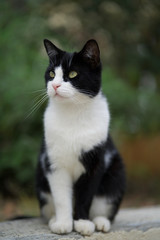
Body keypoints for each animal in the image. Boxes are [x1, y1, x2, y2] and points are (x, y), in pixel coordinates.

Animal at [36, 38, 126, 235]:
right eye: (52, 74)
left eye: (73, 73)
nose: (55, 85)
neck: (73, 114)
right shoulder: (53, 162)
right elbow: (61, 197)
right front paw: (63, 223)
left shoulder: (96, 162)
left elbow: (85, 195)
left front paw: (83, 223)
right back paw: (54, 220)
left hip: (116, 174)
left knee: (105, 204)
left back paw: (100, 222)